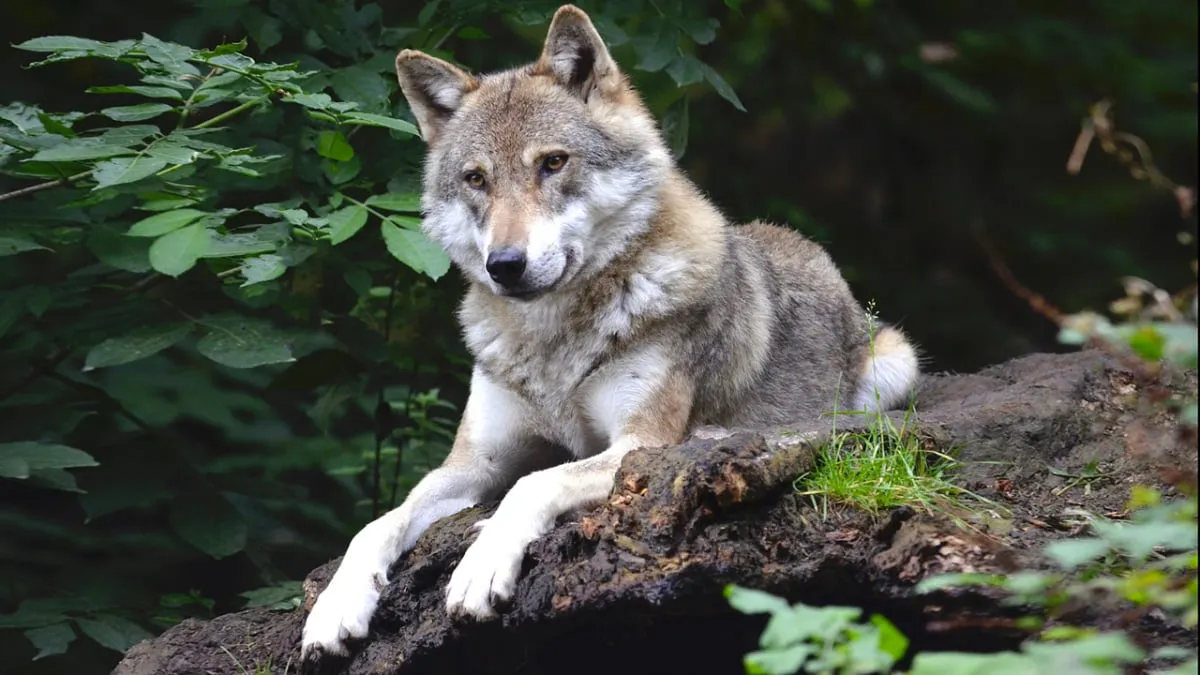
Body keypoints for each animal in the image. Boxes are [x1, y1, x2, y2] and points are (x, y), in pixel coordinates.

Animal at [300, 3, 919, 666]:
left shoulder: (637, 444)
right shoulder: (473, 461)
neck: (553, 343)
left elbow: (533, 483)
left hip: (894, 366)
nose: (505, 264)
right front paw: (335, 607)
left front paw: (480, 565)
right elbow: (379, 522)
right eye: (476, 179)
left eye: (553, 163)